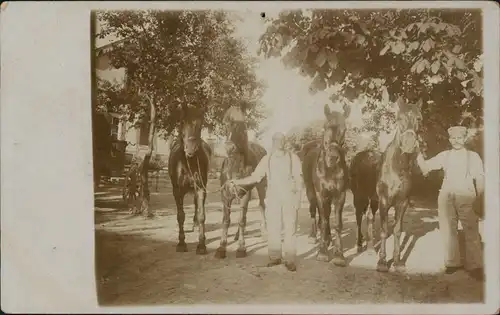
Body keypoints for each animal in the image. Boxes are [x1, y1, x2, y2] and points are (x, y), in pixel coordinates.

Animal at [169, 107, 212, 256]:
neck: (188, 163)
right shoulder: (177, 191)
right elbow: (180, 215)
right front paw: (181, 243)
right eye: (182, 122)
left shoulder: (200, 189)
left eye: (200, 125)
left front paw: (201, 245)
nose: (191, 150)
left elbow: (202, 215)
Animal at [216, 106, 270, 260]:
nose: (229, 148)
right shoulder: (225, 194)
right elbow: (226, 220)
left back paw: (264, 232)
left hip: (261, 187)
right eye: (225, 123)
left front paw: (241, 248)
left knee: (261, 206)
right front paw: (222, 247)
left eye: (242, 124)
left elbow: (242, 220)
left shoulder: (246, 193)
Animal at [300, 104, 352, 266]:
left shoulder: (339, 195)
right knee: (314, 211)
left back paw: (328, 239)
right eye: (325, 126)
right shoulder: (321, 194)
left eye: (344, 129)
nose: (333, 158)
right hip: (311, 193)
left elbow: (337, 223)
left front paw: (339, 255)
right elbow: (323, 220)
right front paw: (322, 253)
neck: (329, 170)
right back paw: (313, 236)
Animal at [376, 97, 422, 272]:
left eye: (419, 119)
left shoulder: (402, 203)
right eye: (399, 118)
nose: (409, 144)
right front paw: (382, 262)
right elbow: (383, 231)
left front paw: (397, 261)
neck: (397, 168)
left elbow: (397, 231)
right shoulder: (383, 202)